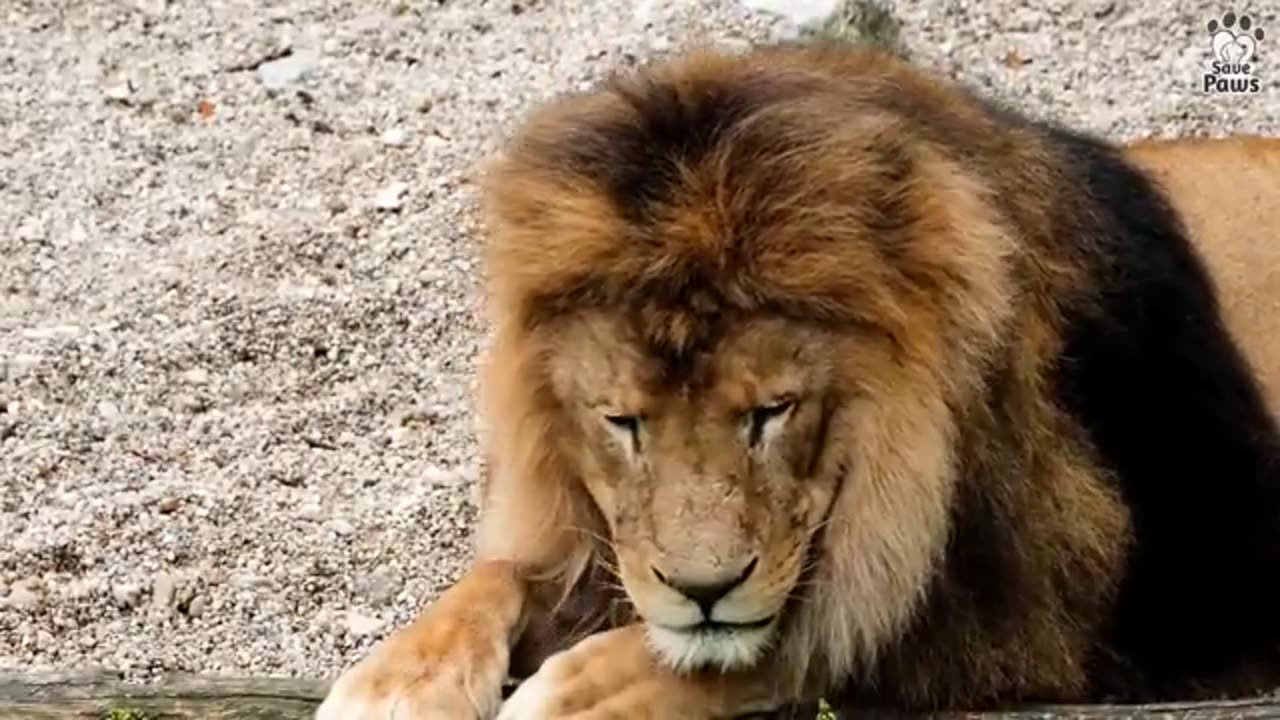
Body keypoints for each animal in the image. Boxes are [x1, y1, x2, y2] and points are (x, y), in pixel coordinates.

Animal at [317, 40, 1280, 717]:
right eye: (623, 423)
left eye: (771, 413)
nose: (703, 593)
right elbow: (502, 573)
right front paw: (392, 682)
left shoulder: (1053, 610)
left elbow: (808, 632)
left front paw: (578, 692)